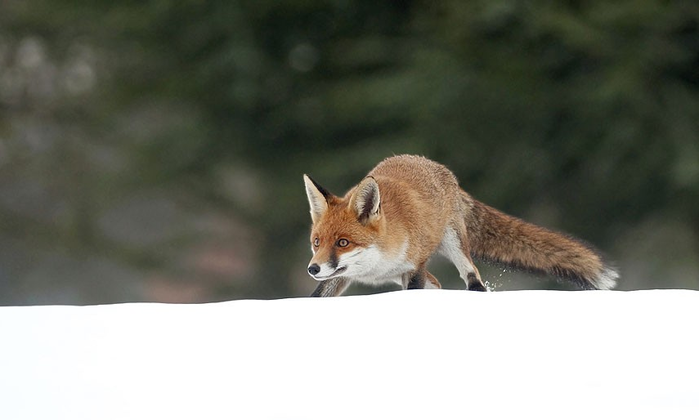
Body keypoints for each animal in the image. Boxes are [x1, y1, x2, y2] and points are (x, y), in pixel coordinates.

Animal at [304, 155, 620, 298]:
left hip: (454, 243)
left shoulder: (414, 266)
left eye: (343, 242)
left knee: (472, 275)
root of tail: (437, 166)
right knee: (438, 284)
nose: (313, 269)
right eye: (317, 242)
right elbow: (318, 297)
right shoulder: (340, 276)